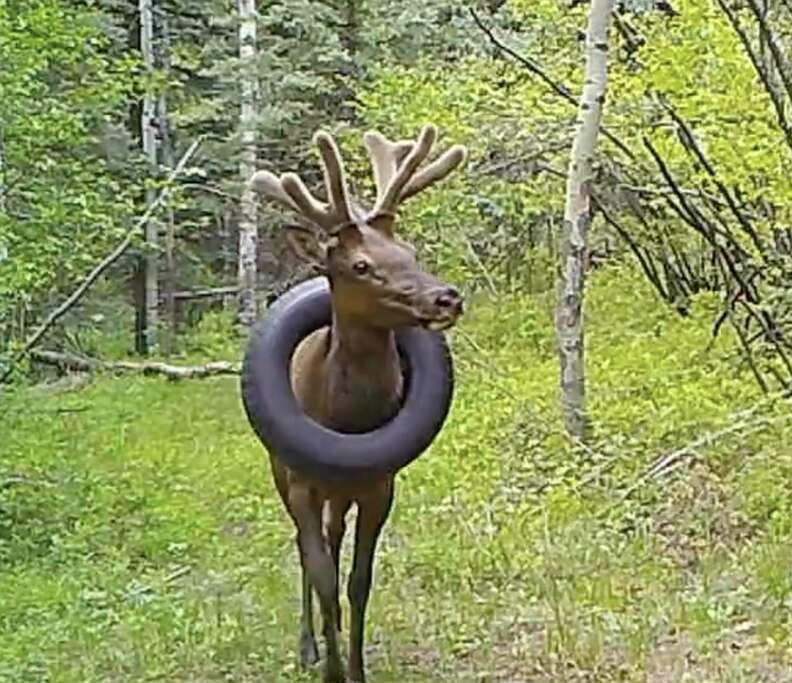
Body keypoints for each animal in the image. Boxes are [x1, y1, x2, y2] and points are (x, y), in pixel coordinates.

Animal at [251, 125, 468, 683]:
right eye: (360, 265)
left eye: (408, 250)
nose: (446, 297)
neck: (347, 419)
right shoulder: (301, 481)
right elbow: (324, 576)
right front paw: (330, 668)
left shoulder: (379, 486)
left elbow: (358, 580)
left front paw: (357, 668)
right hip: (280, 471)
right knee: (305, 550)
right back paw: (307, 644)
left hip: (341, 492)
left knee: (332, 538)